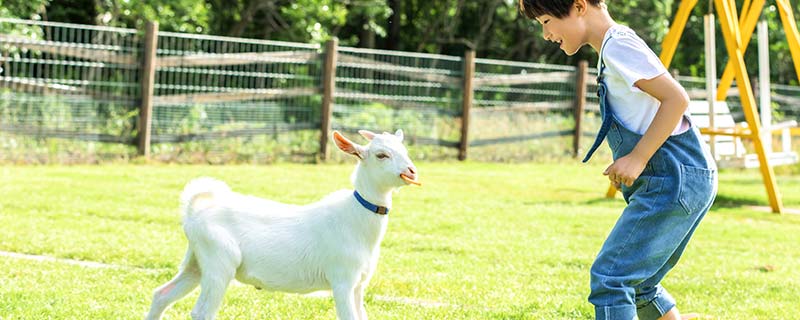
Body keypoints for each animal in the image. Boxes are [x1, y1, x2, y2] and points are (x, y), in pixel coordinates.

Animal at [146, 130, 418, 320]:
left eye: (404, 150)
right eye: (381, 155)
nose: (412, 171)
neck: (354, 217)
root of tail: (195, 211)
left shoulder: (359, 284)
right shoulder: (342, 279)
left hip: (196, 262)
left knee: (161, 295)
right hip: (219, 263)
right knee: (202, 312)